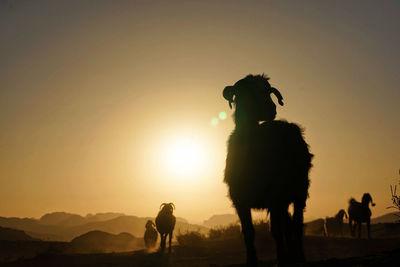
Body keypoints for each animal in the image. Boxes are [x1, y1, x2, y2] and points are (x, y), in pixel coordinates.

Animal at [222, 74, 312, 266]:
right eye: (245, 92)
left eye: (268, 91)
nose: (272, 109)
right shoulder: (240, 199)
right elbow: (248, 232)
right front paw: (251, 261)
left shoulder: (275, 196)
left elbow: (276, 230)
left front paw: (282, 259)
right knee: (288, 224)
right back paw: (292, 255)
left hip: (299, 191)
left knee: (296, 224)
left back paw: (298, 256)